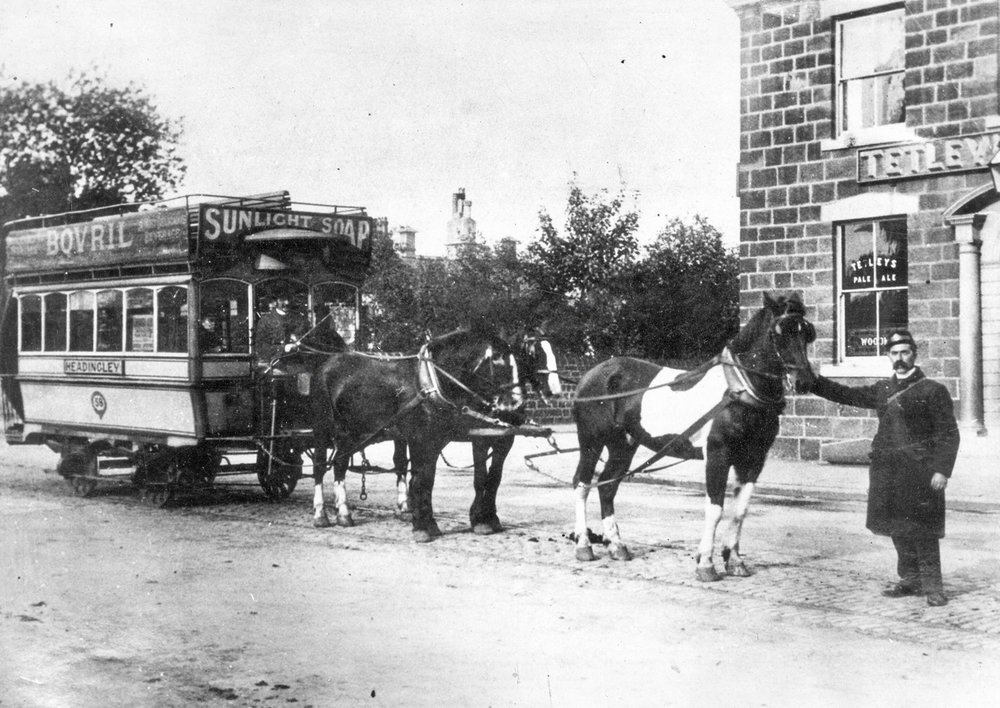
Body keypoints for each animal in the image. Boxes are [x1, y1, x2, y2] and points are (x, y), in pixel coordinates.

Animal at [572, 294, 812, 580]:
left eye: (807, 333)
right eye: (778, 333)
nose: (805, 381)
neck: (739, 391)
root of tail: (590, 376)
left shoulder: (753, 460)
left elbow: (740, 511)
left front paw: (735, 561)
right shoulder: (718, 456)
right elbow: (715, 509)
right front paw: (706, 564)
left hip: (623, 445)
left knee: (607, 486)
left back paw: (617, 546)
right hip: (592, 442)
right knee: (582, 484)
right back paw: (584, 546)